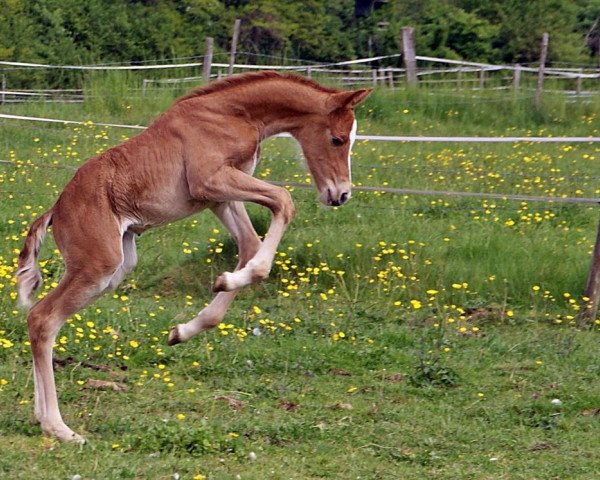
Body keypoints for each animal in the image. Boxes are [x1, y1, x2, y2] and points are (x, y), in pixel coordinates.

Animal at [15, 71, 370, 442]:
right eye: (337, 139)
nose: (341, 194)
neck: (234, 113)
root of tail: (57, 209)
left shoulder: (219, 197)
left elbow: (249, 245)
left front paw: (187, 326)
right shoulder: (210, 180)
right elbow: (283, 201)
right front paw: (232, 279)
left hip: (115, 269)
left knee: (47, 321)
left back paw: (42, 419)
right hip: (97, 265)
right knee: (42, 319)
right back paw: (59, 428)